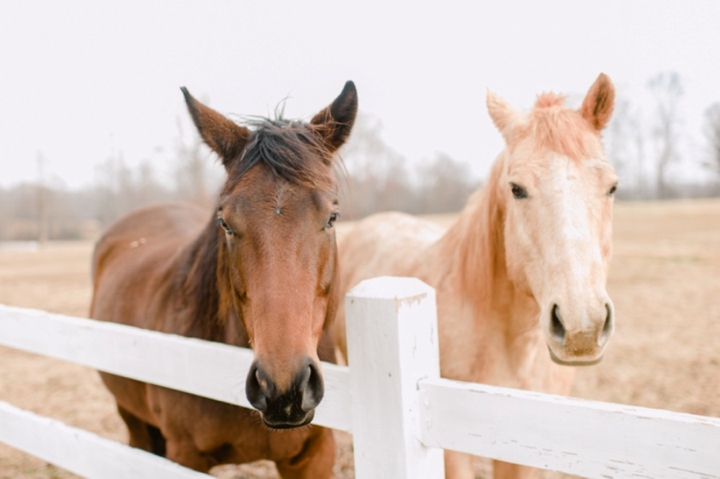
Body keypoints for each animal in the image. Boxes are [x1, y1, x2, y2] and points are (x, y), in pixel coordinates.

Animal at [90, 80, 358, 478]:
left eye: (332, 217)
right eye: (225, 222)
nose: (284, 389)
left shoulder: (314, 456)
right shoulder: (184, 456)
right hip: (133, 420)